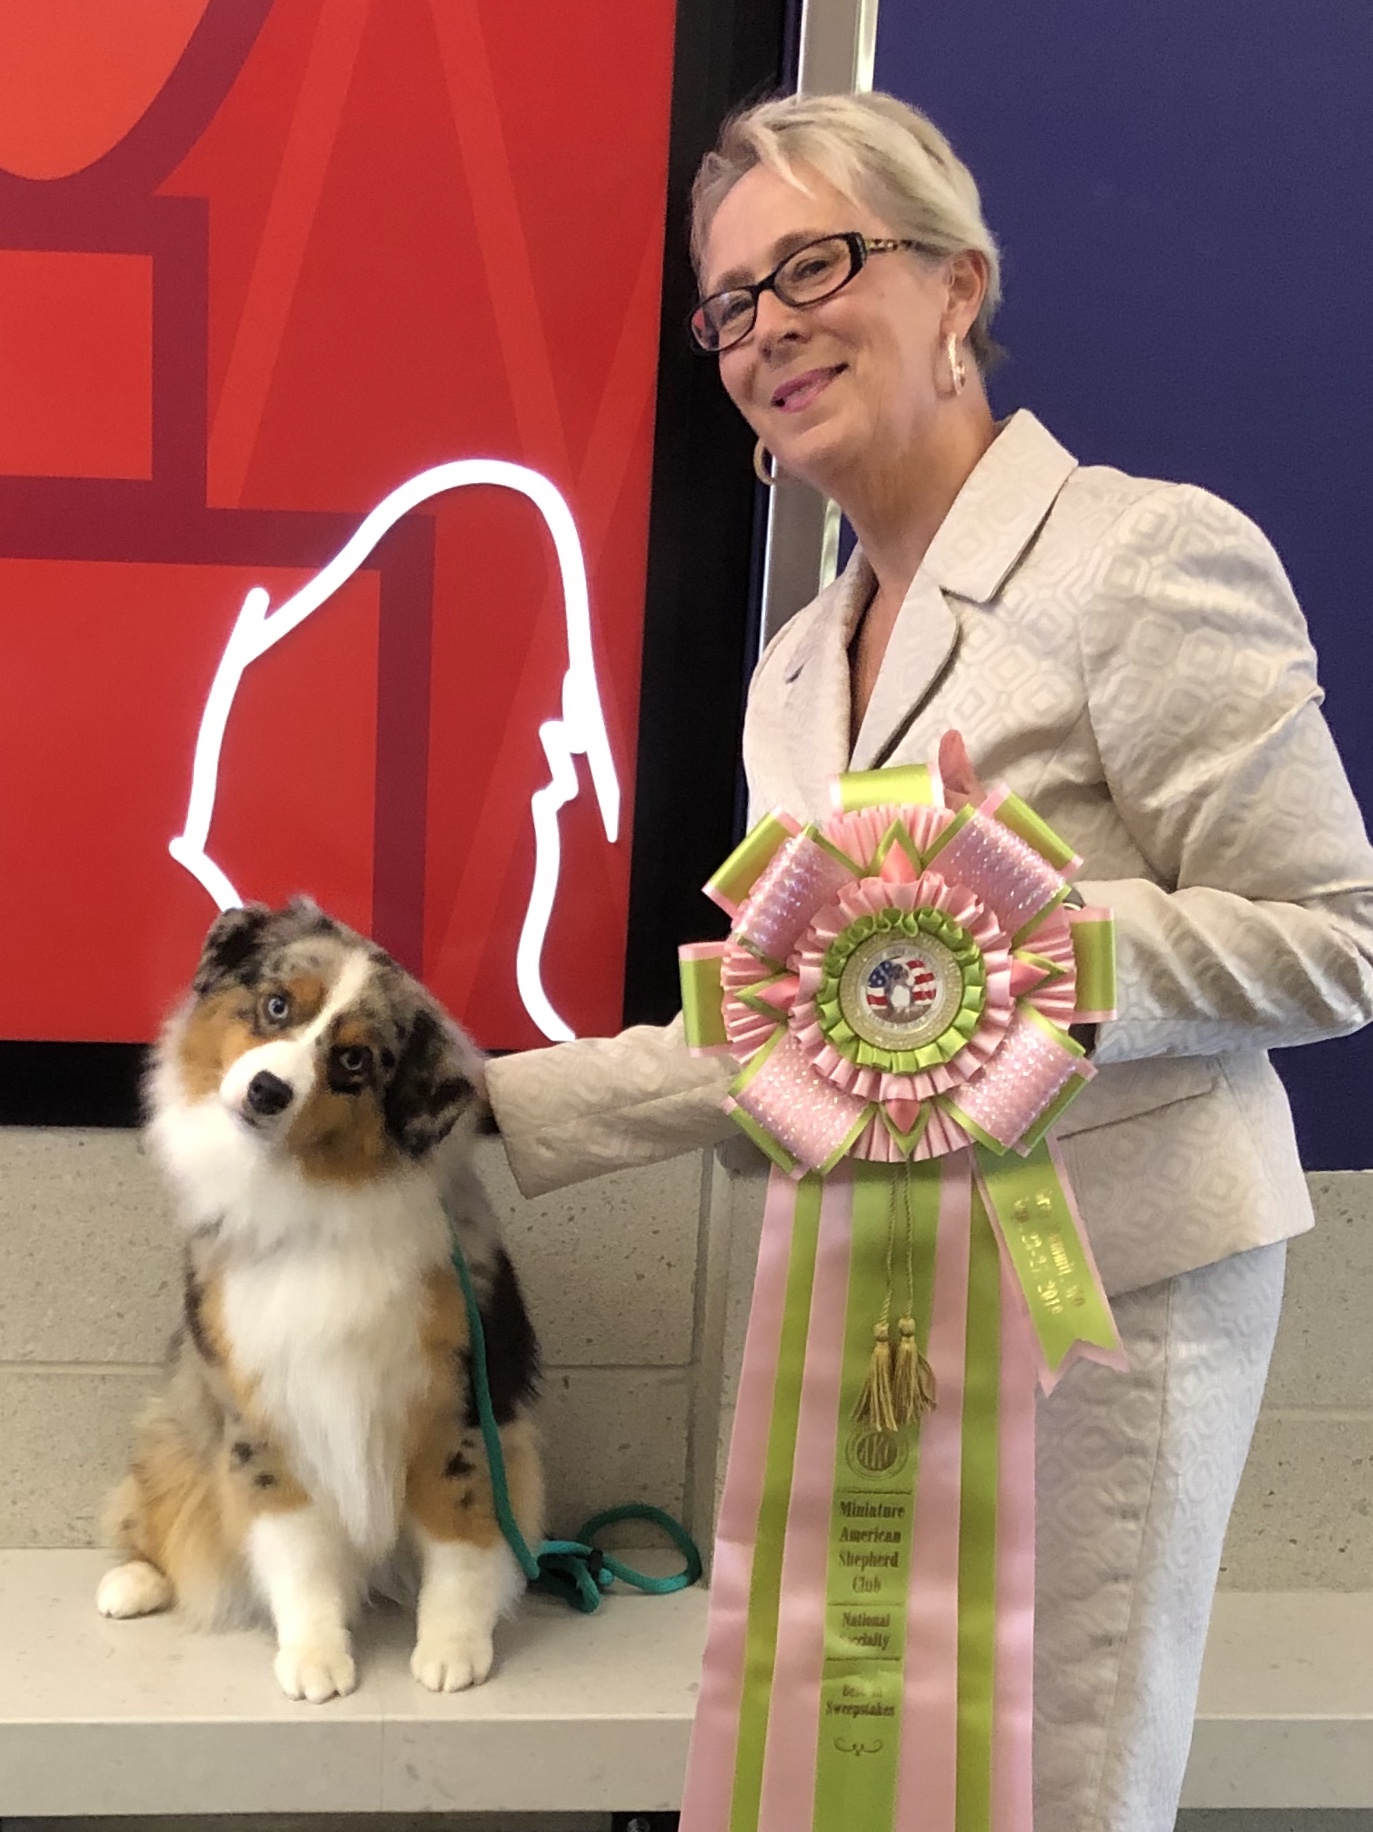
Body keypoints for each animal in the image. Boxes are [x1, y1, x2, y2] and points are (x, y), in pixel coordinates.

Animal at [96, 897, 542, 1703]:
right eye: (277, 1006)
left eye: (355, 1060)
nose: (267, 1091)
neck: (310, 1199)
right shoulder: (261, 1414)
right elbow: (296, 1549)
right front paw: (314, 1655)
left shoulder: (462, 1411)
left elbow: (461, 1541)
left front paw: (453, 1647)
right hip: (174, 1429)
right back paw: (134, 1581)